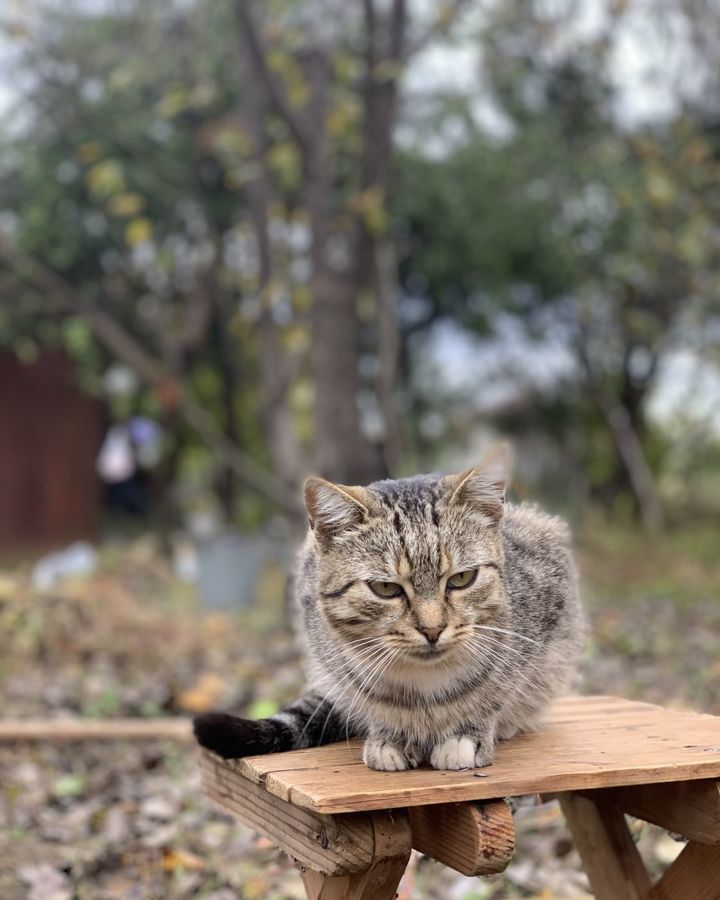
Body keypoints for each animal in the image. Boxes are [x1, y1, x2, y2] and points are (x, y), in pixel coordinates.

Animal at [193, 446, 584, 768]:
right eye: (385, 588)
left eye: (462, 579)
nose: (432, 629)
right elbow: (372, 703)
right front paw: (390, 736)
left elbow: (499, 692)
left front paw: (467, 733)